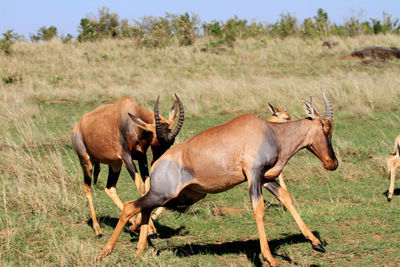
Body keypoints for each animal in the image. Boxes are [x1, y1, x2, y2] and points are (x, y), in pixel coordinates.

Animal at [71, 94, 184, 239]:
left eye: (171, 142)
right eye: (157, 139)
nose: (158, 161)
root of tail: (78, 125)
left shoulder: (141, 157)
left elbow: (147, 186)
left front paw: (143, 227)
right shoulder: (126, 157)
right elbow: (141, 187)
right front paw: (148, 230)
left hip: (115, 164)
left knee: (110, 188)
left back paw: (130, 221)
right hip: (86, 161)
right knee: (87, 188)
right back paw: (98, 231)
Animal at [97, 90, 338, 267]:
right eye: (326, 127)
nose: (332, 163)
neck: (269, 131)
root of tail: (158, 163)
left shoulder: (265, 177)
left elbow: (286, 198)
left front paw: (316, 243)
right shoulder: (254, 175)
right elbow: (258, 210)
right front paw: (270, 259)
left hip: (174, 196)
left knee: (144, 209)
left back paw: (138, 252)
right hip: (164, 193)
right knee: (130, 206)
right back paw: (105, 252)